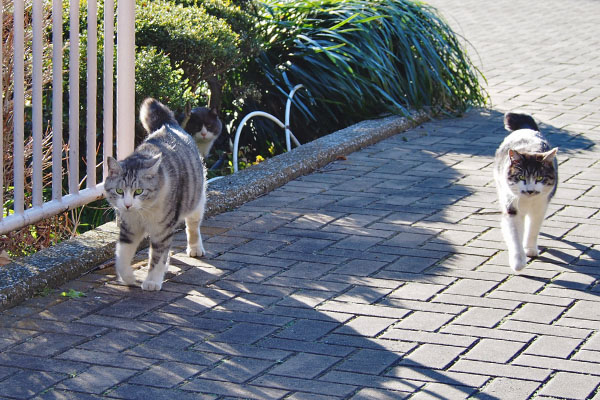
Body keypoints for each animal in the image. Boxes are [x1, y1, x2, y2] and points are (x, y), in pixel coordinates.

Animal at [103, 97, 206, 290]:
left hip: (196, 198)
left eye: (139, 191)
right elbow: (122, 256)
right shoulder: (129, 228)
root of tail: (168, 124)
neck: (142, 213)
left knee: (193, 225)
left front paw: (152, 281)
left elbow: (158, 256)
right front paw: (128, 278)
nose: (127, 204)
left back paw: (195, 248)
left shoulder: (162, 229)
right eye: (119, 190)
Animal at [492, 112, 556, 276]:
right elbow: (514, 235)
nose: (530, 190)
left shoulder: (541, 206)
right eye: (521, 177)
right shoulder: (511, 206)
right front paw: (518, 262)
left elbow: (533, 228)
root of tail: (527, 129)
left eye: (539, 178)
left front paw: (531, 249)